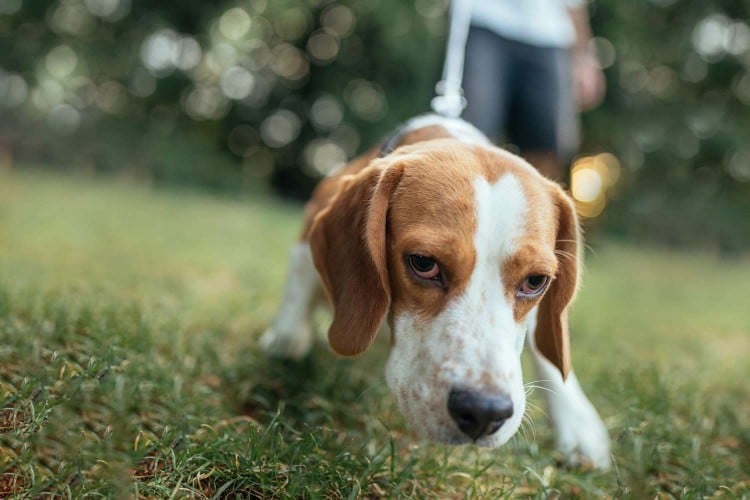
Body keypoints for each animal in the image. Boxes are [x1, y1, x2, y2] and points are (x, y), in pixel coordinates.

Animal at [262, 115, 612, 470]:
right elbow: (296, 294)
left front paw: (577, 422)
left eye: (536, 281)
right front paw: (286, 338)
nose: (484, 412)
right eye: (423, 263)